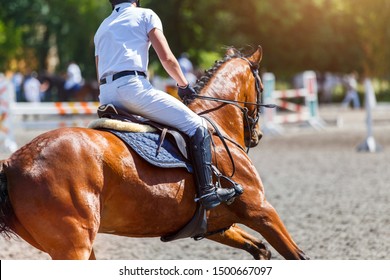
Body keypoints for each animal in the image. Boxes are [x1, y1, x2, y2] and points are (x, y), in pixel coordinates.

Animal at [0, 46, 308, 260]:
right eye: (259, 86)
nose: (257, 136)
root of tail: (13, 163)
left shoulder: (215, 225)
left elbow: (261, 250)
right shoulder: (261, 210)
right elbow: (297, 255)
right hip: (74, 245)